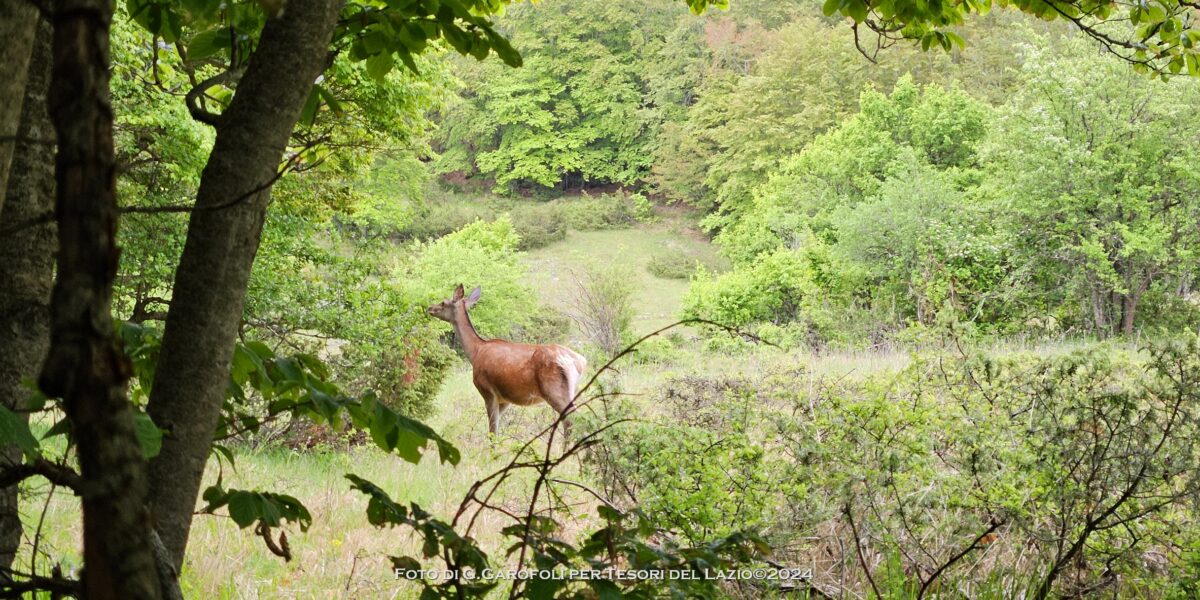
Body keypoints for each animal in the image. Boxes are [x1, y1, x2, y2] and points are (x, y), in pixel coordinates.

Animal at [427, 284, 588, 437]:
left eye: (443, 302)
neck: (475, 352)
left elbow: (492, 433)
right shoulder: (505, 399)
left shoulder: (488, 391)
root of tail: (579, 362)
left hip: (553, 390)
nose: (430, 308)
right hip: (572, 390)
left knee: (571, 420)